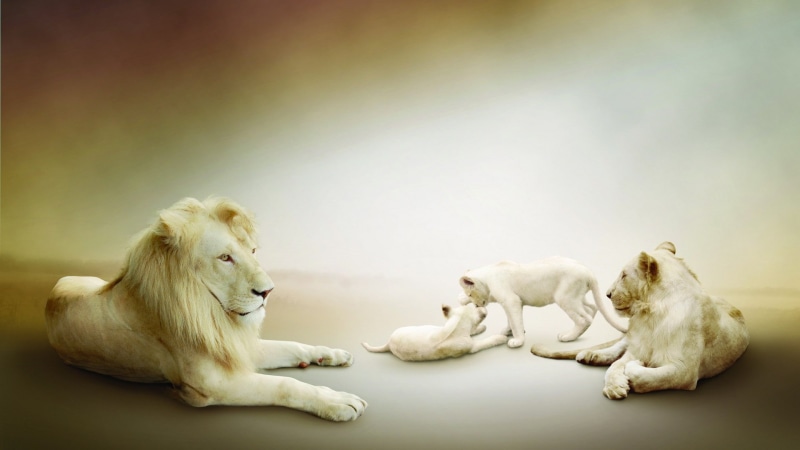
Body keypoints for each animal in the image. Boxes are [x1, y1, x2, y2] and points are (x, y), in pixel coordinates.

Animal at [45, 197, 367, 421]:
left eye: (252, 251)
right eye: (225, 258)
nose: (268, 291)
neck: (213, 314)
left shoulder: (234, 346)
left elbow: (291, 345)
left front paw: (331, 354)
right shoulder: (212, 384)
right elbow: (284, 385)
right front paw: (337, 401)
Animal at [361, 303, 508, 361]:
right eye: (475, 306)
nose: (481, 305)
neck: (456, 327)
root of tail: (388, 344)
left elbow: (473, 331)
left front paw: (481, 328)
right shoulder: (472, 347)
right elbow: (487, 341)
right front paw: (501, 338)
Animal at [459, 257, 628, 348]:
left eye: (469, 294)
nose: (477, 305)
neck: (488, 278)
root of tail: (589, 272)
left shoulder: (511, 300)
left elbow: (515, 322)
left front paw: (517, 341)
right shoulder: (513, 302)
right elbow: (511, 320)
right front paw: (508, 331)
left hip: (564, 298)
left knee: (583, 319)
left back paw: (568, 337)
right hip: (577, 297)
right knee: (592, 308)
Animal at [530, 242, 749, 399]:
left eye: (624, 275)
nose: (608, 294)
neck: (651, 316)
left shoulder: (685, 371)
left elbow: (649, 377)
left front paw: (635, 369)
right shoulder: (638, 345)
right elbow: (614, 366)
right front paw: (614, 387)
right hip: (628, 338)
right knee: (618, 347)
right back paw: (590, 354)